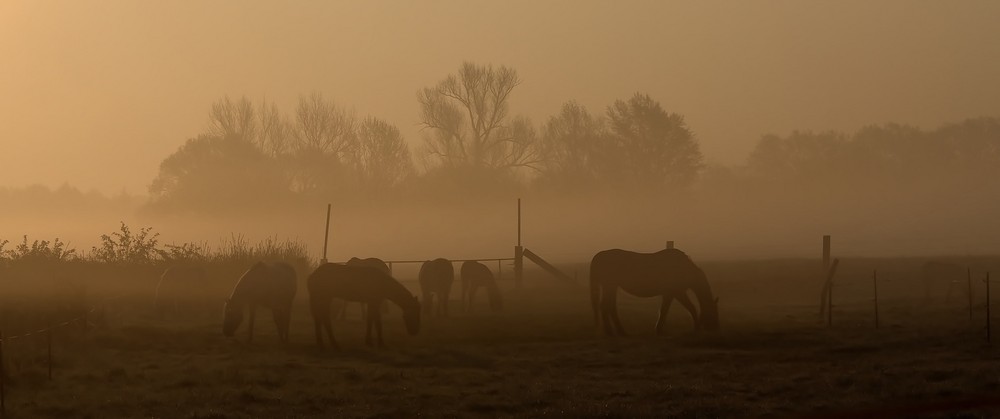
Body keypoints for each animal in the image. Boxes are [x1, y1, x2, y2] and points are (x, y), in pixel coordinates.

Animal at [584, 249, 720, 338]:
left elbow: (665, 310)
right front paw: (696, 328)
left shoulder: (670, 294)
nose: (715, 327)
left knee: (609, 307)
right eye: (713, 311)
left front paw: (658, 329)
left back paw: (618, 331)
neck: (683, 267)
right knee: (606, 306)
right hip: (610, 286)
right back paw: (613, 332)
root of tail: (599, 256)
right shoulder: (676, 292)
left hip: (611, 287)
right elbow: (688, 308)